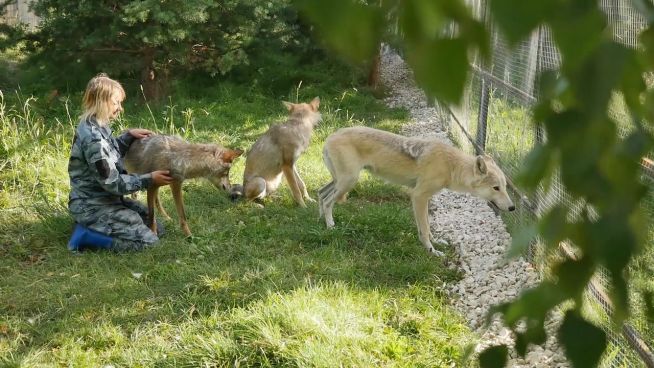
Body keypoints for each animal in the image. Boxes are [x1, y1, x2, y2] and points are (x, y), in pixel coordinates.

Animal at [320, 126, 516, 256]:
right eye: (496, 188)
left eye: (505, 187)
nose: (513, 208)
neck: (451, 166)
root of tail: (329, 138)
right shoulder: (418, 197)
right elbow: (424, 228)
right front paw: (432, 251)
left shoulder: (425, 199)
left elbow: (427, 226)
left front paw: (436, 243)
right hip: (348, 182)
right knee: (328, 201)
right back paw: (330, 227)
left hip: (340, 182)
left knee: (321, 194)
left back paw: (319, 221)